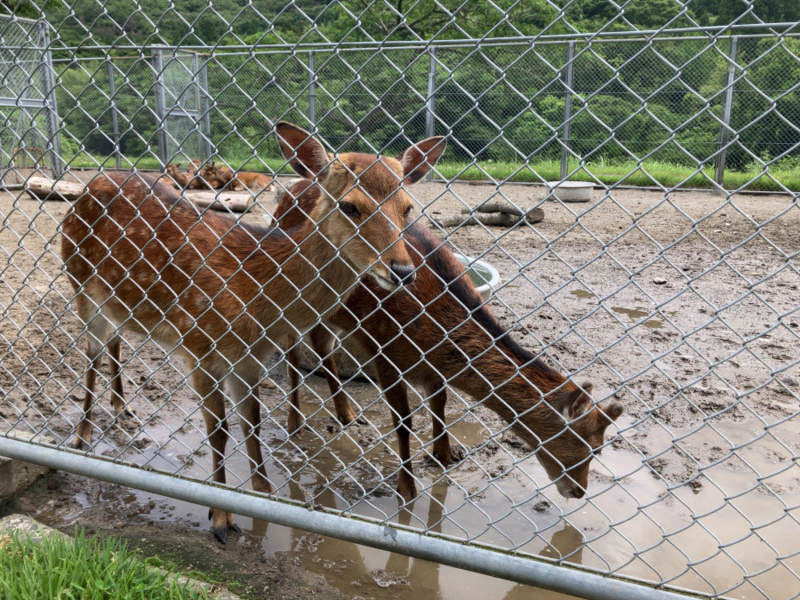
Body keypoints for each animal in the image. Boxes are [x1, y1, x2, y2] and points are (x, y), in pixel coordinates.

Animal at [61, 122, 438, 544]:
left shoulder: (249, 358)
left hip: (118, 304)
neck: (256, 292)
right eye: (350, 206)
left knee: (114, 341)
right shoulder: (200, 346)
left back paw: (122, 407)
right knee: (91, 353)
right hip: (80, 285)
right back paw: (82, 435)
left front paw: (264, 495)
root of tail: (89, 186)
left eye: (407, 207)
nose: (403, 270)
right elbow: (219, 432)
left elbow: (251, 423)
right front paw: (221, 517)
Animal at [276, 178, 624, 502]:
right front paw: (407, 487)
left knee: (322, 345)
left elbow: (439, 403)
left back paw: (348, 415)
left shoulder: (431, 366)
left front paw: (446, 455)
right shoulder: (384, 349)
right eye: (592, 447)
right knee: (293, 353)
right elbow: (403, 421)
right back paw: (295, 423)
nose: (579, 491)